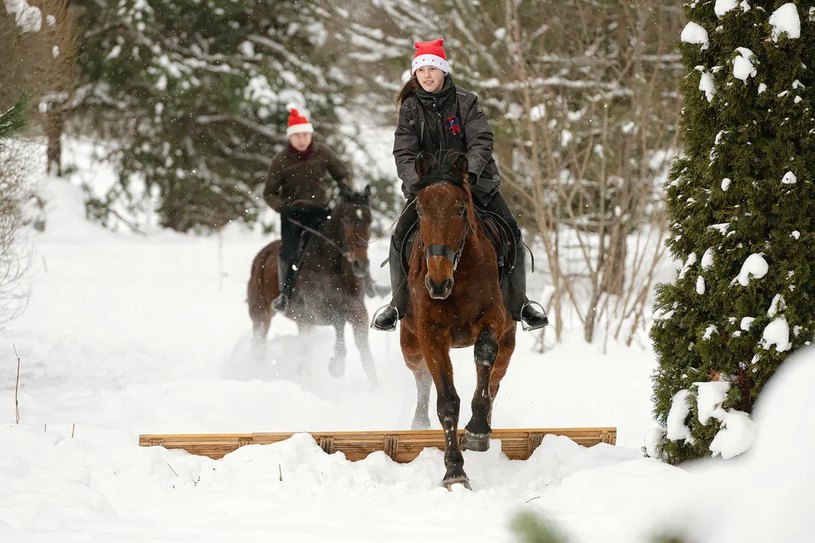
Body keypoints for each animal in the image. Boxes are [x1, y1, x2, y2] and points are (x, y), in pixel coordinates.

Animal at [247, 186, 378, 386]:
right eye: (347, 220)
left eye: (370, 220)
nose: (360, 265)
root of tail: (262, 254)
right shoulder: (317, 308)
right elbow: (338, 323)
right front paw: (337, 364)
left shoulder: (358, 313)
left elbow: (365, 354)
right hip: (261, 312)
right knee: (259, 343)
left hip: (302, 321)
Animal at [400, 151, 516, 490]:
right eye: (420, 210)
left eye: (461, 209)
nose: (437, 283)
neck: (458, 275)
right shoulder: (431, 335)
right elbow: (447, 401)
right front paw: (454, 472)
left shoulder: (493, 319)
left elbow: (484, 356)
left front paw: (477, 429)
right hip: (410, 345)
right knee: (421, 376)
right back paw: (419, 424)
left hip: (509, 343)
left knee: (495, 379)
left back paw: (486, 423)